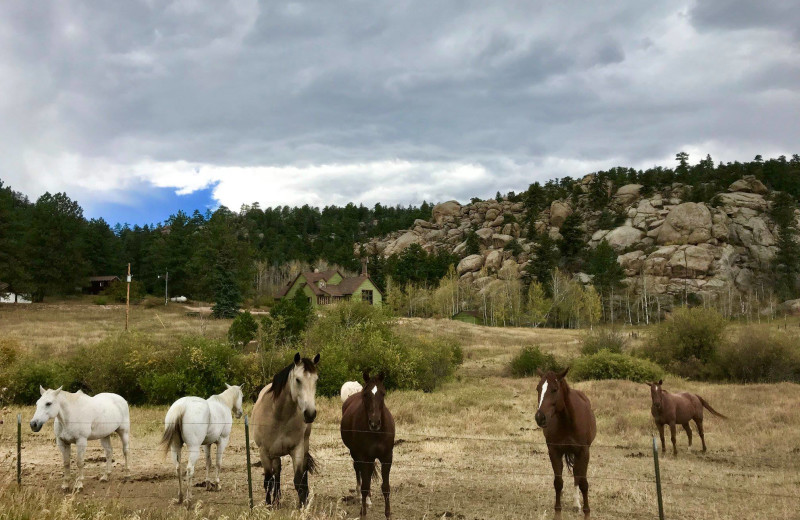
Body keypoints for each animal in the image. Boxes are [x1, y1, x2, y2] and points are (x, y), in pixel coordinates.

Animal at [255, 354, 320, 508]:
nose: (310, 414)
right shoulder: (264, 452)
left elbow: (299, 481)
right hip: (273, 454)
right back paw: (277, 500)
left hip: (304, 445)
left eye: (316, 380)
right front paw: (268, 506)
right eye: (298, 380)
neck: (279, 416)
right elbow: (268, 481)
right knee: (277, 472)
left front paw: (303, 506)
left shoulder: (297, 449)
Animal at [340, 372, 396, 516]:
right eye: (365, 394)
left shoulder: (387, 457)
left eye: (383, 393)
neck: (377, 433)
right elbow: (365, 486)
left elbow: (386, 487)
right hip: (356, 454)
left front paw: (388, 514)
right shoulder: (364, 456)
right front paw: (363, 513)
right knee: (358, 470)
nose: (374, 423)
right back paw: (361, 497)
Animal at [536, 368, 592, 516]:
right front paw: (557, 509)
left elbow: (583, 482)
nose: (539, 417)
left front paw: (586, 510)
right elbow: (558, 482)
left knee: (576, 475)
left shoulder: (583, 452)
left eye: (554, 389)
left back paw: (576, 504)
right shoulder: (554, 451)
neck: (568, 421)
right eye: (538, 388)